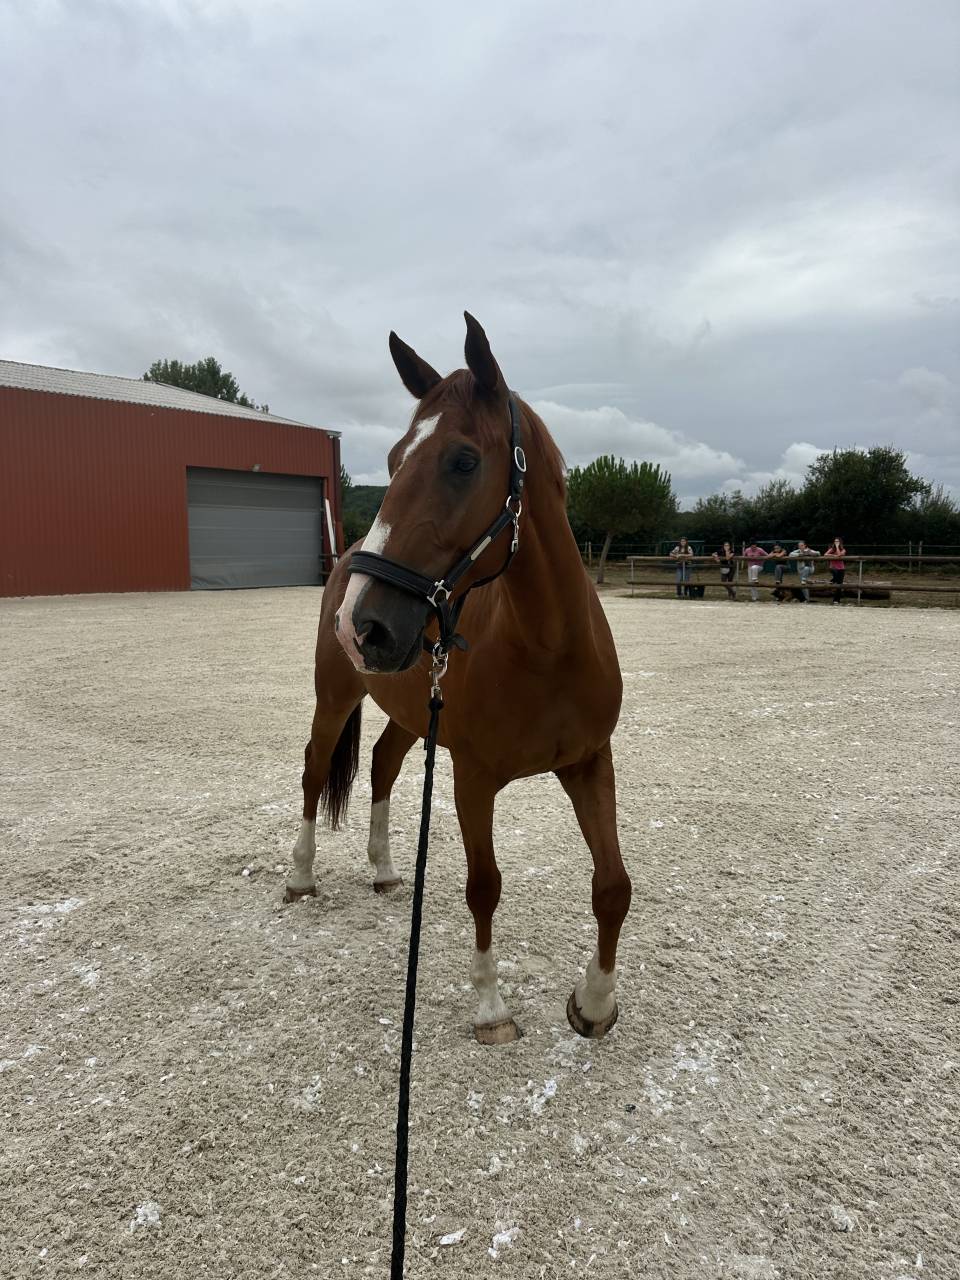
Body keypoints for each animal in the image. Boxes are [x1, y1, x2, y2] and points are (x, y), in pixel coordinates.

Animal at [285, 312, 631, 1044]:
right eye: (392, 460)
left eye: (463, 460)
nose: (362, 623)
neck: (549, 647)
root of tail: (345, 557)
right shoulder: (474, 777)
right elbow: (485, 886)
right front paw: (491, 1008)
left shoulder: (590, 762)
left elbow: (613, 884)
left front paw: (594, 1003)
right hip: (336, 695)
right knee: (313, 767)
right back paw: (300, 877)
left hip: (410, 712)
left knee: (382, 764)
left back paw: (388, 871)